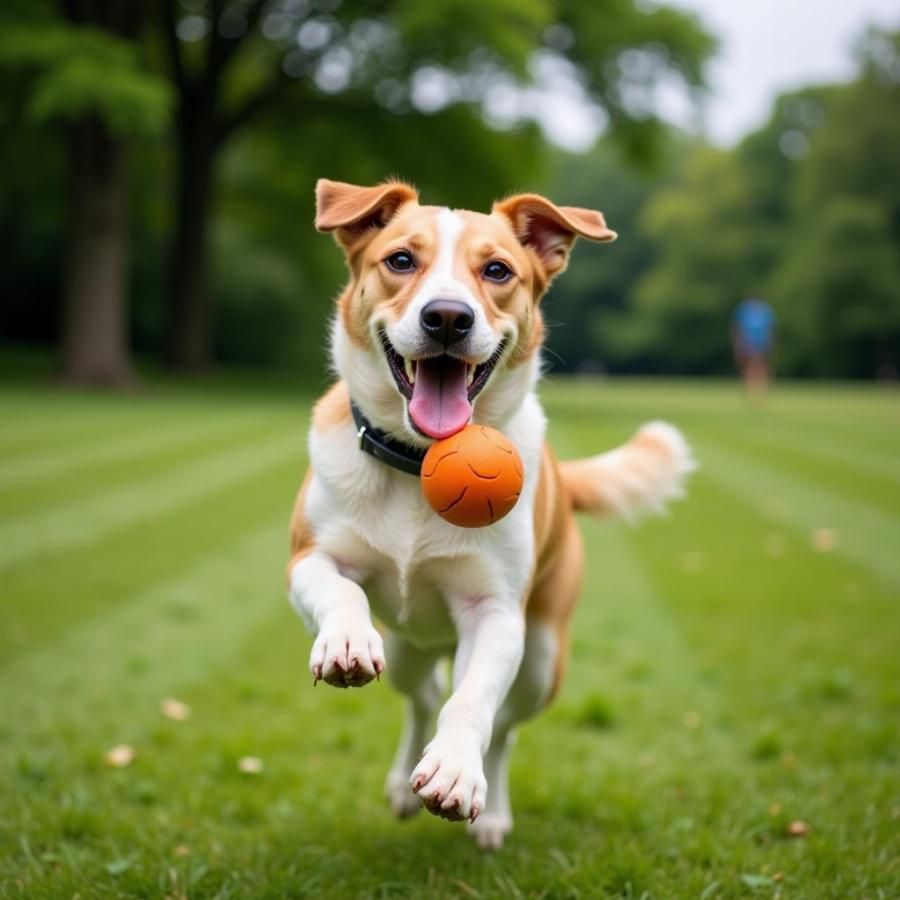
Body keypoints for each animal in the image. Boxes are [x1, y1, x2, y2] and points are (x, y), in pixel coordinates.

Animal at [284, 178, 692, 852]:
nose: (448, 316)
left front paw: (453, 770)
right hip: (408, 646)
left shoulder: (497, 613)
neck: (417, 462)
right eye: (401, 260)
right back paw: (402, 782)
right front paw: (344, 639)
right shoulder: (307, 558)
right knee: (421, 693)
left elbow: (472, 703)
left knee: (501, 728)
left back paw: (493, 811)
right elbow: (340, 592)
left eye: (497, 270)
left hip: (542, 657)